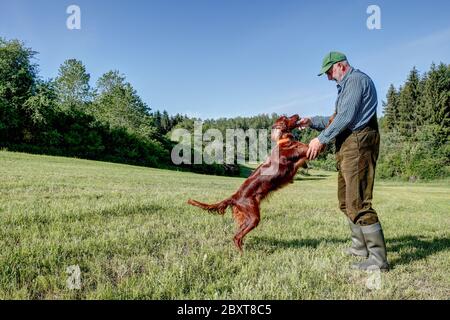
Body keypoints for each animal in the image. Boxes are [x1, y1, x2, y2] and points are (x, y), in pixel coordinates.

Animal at [187, 115, 310, 252]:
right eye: (287, 118)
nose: (297, 115)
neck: (283, 141)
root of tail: (234, 197)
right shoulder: (301, 151)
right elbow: (309, 146)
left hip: (246, 217)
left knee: (237, 235)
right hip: (253, 217)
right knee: (237, 237)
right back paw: (242, 254)